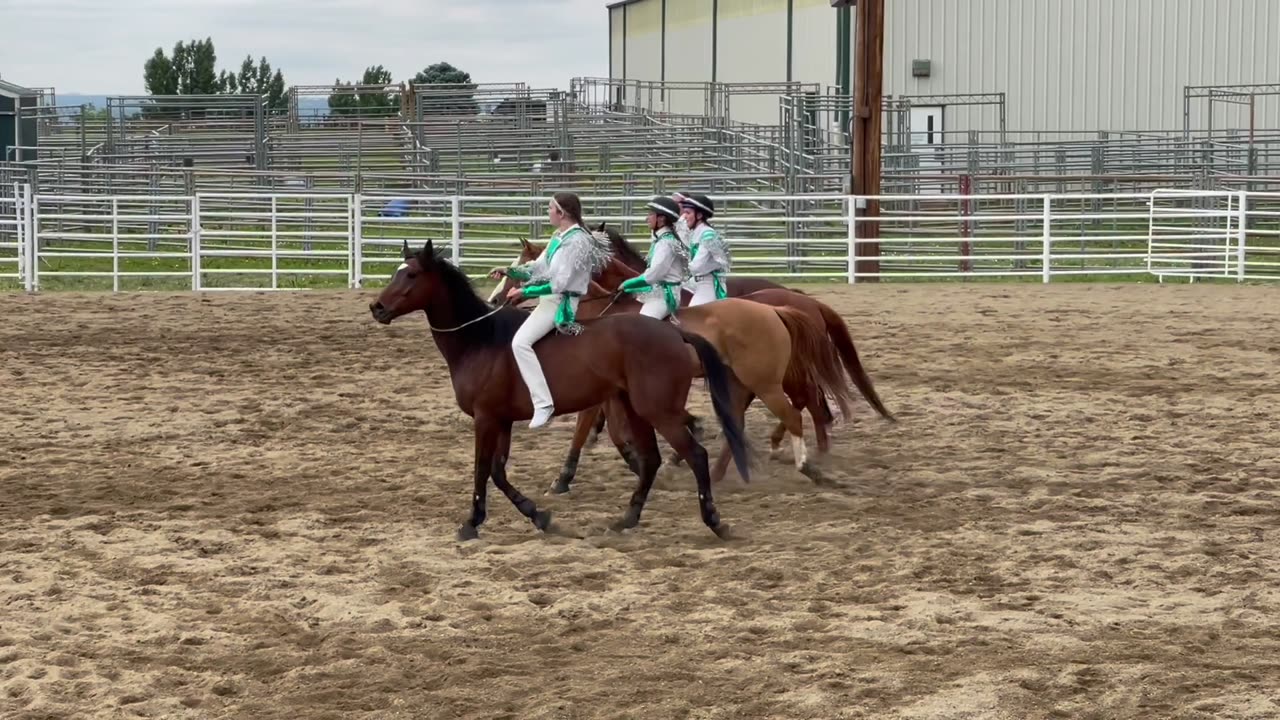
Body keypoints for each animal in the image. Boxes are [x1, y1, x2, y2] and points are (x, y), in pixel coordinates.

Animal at [368, 240, 747, 538]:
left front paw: (471, 523)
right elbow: (498, 472)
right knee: (650, 460)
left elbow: (481, 470)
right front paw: (539, 516)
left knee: (695, 455)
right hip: (635, 409)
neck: (480, 340)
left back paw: (714, 521)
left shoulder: (485, 418)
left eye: (411, 275)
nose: (377, 307)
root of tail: (674, 332)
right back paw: (625, 520)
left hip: (658, 411)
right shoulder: (502, 420)